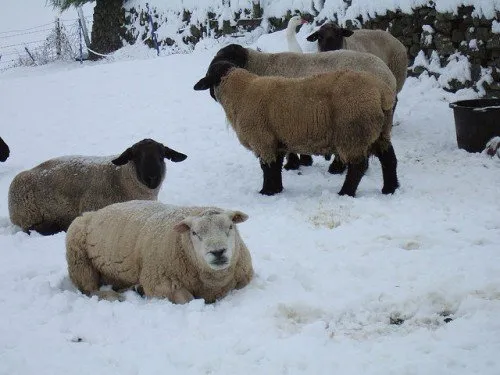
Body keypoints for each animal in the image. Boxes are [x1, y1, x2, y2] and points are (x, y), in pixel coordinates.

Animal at [65, 201, 254, 304]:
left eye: (230, 226)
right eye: (194, 233)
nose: (218, 252)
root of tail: (93, 212)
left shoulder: (244, 277)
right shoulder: (160, 283)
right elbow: (187, 299)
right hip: (79, 262)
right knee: (89, 289)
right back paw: (113, 296)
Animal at [193, 60, 400, 198]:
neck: (241, 92)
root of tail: (382, 92)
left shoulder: (263, 140)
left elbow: (267, 167)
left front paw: (266, 192)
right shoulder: (276, 141)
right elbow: (275, 166)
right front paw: (276, 190)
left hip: (353, 134)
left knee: (358, 167)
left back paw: (345, 193)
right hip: (380, 132)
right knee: (389, 160)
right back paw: (390, 189)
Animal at [205, 43, 396, 173]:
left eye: (228, 58)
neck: (260, 66)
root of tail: (388, 79)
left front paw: (293, 163)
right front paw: (303, 161)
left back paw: (337, 168)